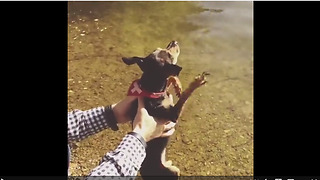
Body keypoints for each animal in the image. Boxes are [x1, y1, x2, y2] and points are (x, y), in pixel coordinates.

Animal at [121, 40, 209, 179]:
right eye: (169, 55)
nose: (174, 41)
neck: (154, 91)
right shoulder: (173, 114)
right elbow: (184, 97)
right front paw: (196, 83)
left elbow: (170, 81)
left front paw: (177, 85)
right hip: (173, 171)